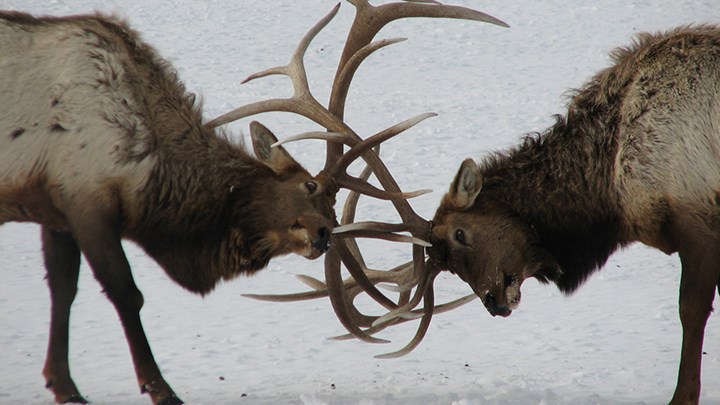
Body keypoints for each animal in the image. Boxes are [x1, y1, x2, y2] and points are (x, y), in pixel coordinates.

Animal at [0, 3, 506, 404]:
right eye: (309, 186)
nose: (325, 235)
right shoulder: (84, 195)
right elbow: (125, 293)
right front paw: (160, 389)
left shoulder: (57, 207)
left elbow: (62, 288)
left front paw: (63, 385)